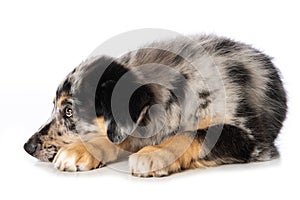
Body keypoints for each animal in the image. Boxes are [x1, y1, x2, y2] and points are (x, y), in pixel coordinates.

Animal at [22, 34, 286, 177]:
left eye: (69, 111)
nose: (27, 147)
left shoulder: (252, 140)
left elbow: (192, 134)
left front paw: (155, 153)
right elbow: (116, 136)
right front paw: (80, 150)